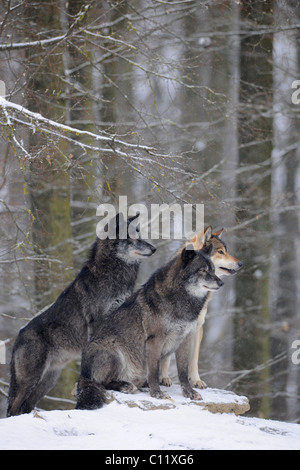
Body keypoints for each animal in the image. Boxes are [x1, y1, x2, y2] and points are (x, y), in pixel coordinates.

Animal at [7, 213, 156, 414]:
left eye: (140, 234)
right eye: (133, 237)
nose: (154, 248)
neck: (112, 276)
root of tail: (19, 335)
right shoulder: (97, 323)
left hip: (45, 384)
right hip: (29, 382)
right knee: (12, 409)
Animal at [76, 244, 224, 410]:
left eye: (213, 270)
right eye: (202, 270)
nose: (221, 283)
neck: (181, 300)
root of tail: (83, 373)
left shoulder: (185, 340)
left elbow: (183, 372)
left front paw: (189, 392)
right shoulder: (155, 340)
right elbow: (154, 371)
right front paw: (157, 393)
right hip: (111, 349)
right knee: (102, 383)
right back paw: (126, 386)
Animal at [159, 227, 241, 390]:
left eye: (226, 250)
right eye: (220, 251)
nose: (241, 263)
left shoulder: (197, 328)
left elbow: (193, 359)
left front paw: (196, 381)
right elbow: (166, 356)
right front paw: (163, 378)